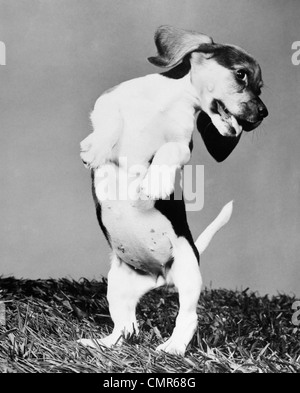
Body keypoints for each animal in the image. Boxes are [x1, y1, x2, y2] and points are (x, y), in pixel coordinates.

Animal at [78, 26, 268, 354]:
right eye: (241, 74)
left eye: (260, 86)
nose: (264, 113)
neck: (166, 103)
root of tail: (157, 277)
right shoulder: (108, 102)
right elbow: (111, 120)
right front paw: (96, 147)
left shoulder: (182, 145)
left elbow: (168, 151)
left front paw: (155, 182)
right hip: (116, 285)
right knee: (126, 326)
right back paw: (103, 343)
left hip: (188, 270)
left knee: (187, 318)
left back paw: (173, 348)